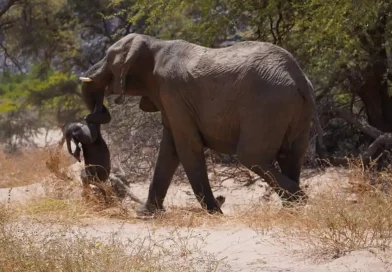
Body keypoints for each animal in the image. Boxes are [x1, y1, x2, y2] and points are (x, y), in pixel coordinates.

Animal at [78, 33, 324, 215]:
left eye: (109, 57)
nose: (92, 117)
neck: (154, 44)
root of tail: (298, 77)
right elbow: (169, 149)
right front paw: (146, 214)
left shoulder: (173, 92)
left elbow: (187, 147)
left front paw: (215, 212)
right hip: (295, 109)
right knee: (290, 155)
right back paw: (292, 209)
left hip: (268, 104)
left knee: (251, 156)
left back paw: (300, 200)